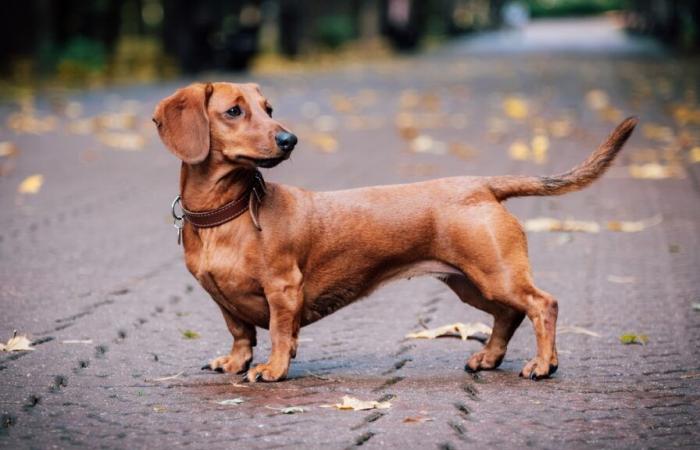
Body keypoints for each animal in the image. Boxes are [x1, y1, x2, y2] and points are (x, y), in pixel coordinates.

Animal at [152, 82, 636, 382]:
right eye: (234, 111)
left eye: (268, 110)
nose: (289, 139)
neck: (227, 214)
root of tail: (481, 184)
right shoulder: (222, 298)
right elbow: (241, 333)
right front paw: (234, 362)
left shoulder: (282, 289)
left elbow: (279, 334)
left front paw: (272, 369)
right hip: (471, 283)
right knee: (509, 315)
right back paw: (489, 357)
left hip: (497, 275)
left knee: (543, 305)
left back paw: (543, 364)